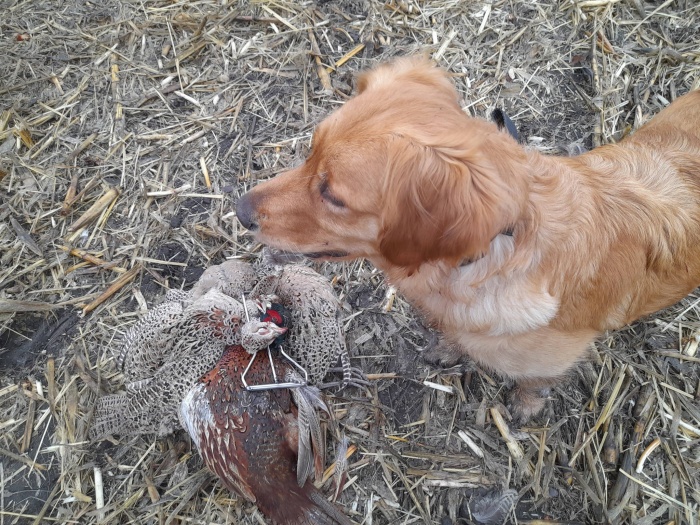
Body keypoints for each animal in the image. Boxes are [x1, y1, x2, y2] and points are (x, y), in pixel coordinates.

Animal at [236, 57, 700, 421]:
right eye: (310, 152)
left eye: (333, 195)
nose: (239, 211)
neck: (497, 250)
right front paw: (448, 347)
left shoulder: (551, 358)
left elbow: (536, 381)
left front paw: (526, 403)